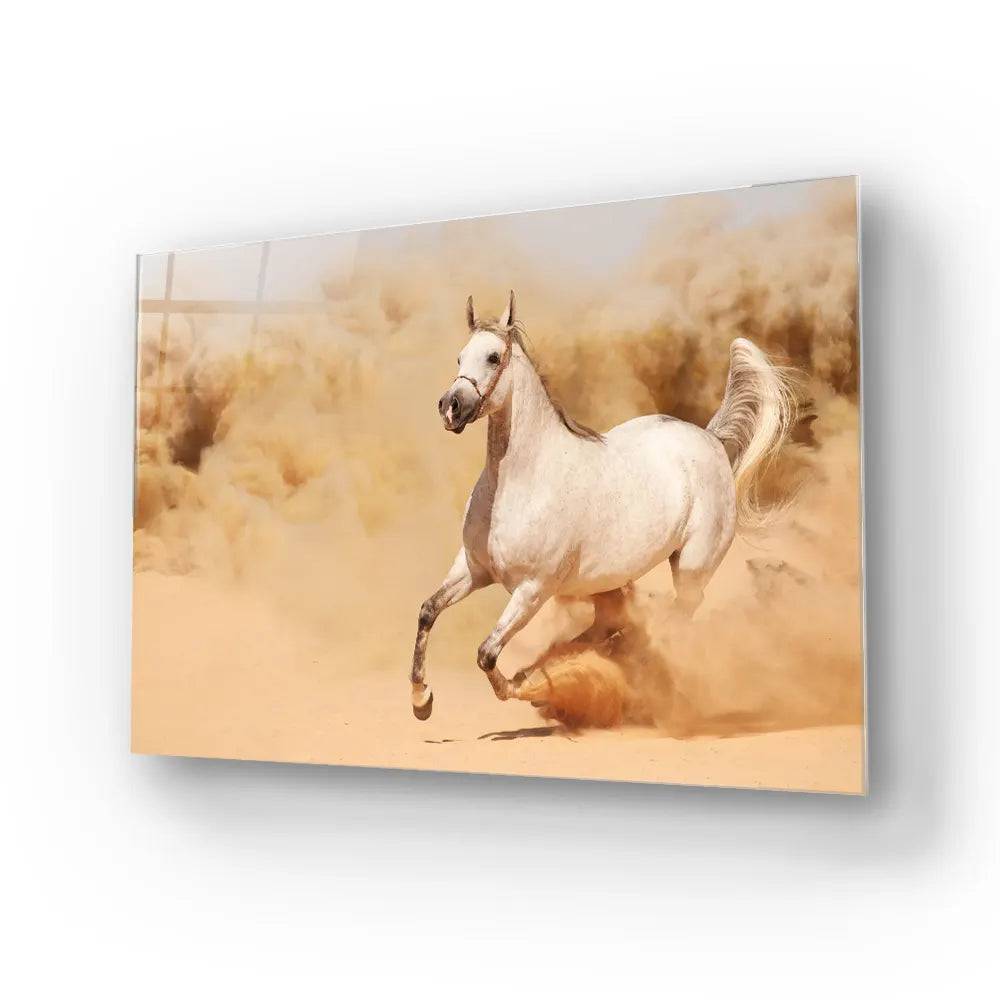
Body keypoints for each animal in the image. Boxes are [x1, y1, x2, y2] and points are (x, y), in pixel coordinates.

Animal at [409, 290, 797, 720]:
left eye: (493, 357)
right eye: (460, 357)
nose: (450, 407)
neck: (520, 481)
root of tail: (710, 440)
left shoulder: (532, 589)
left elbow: (487, 654)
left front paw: (525, 685)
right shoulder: (473, 570)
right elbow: (428, 611)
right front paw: (421, 699)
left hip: (692, 568)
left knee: (674, 620)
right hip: (613, 583)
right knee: (612, 625)